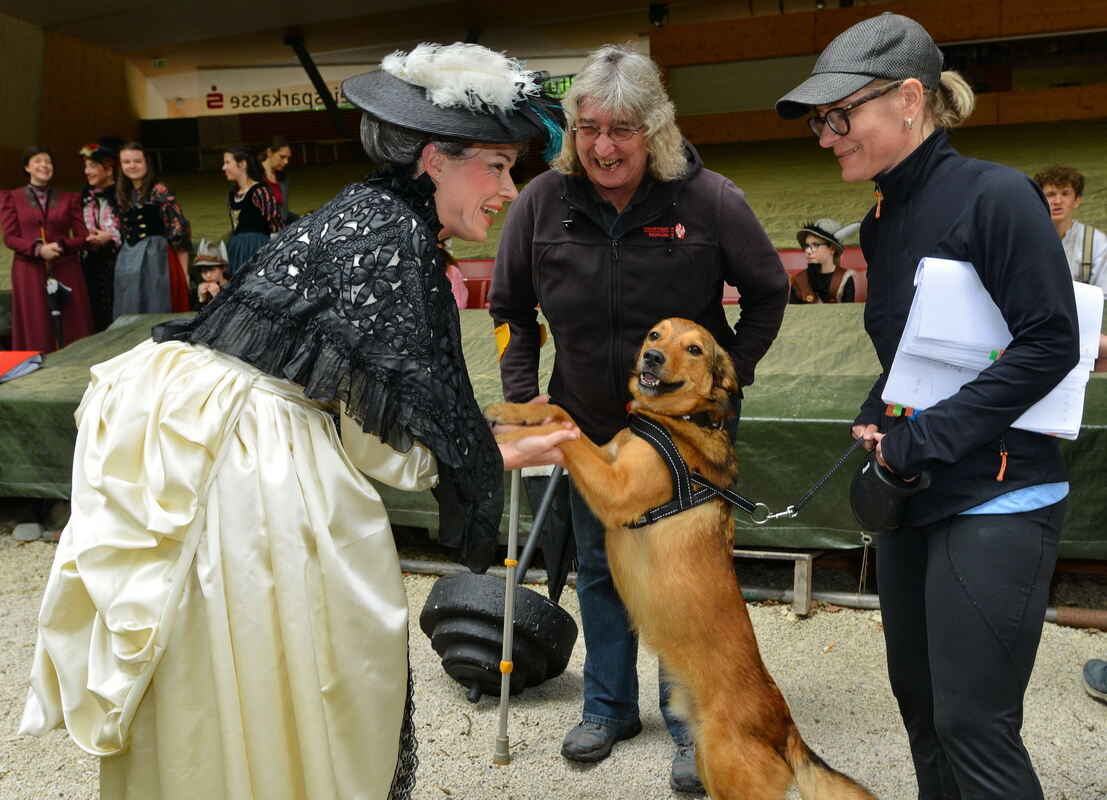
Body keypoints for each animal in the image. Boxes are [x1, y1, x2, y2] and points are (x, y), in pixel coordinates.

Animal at [489, 318, 876, 800]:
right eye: (655, 335)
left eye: (694, 349)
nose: (651, 358)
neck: (673, 423)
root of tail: (785, 726)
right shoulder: (608, 462)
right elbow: (564, 416)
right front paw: (513, 417)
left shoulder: (616, 492)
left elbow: (569, 430)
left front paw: (513, 434)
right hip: (711, 765)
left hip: (732, 776)